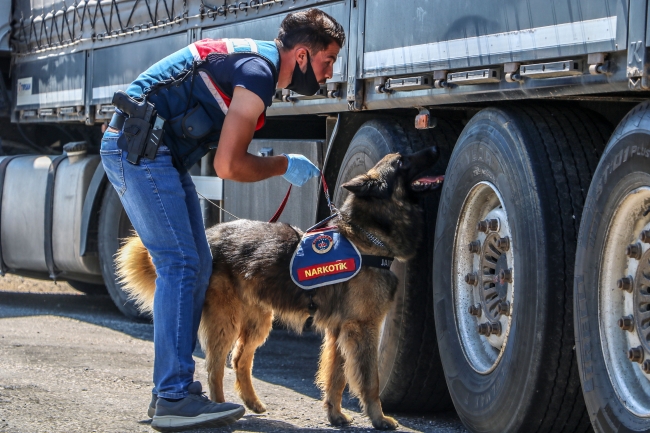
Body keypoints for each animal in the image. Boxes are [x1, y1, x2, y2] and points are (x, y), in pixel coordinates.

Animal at [115, 148, 440, 428]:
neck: (366, 237)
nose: (435, 149)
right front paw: (378, 418)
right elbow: (369, 380)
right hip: (226, 320)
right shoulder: (363, 328)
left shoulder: (339, 332)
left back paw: (251, 402)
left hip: (258, 321)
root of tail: (209, 237)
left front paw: (335, 415)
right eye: (402, 161)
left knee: (239, 360)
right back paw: (220, 409)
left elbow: (336, 377)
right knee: (214, 367)